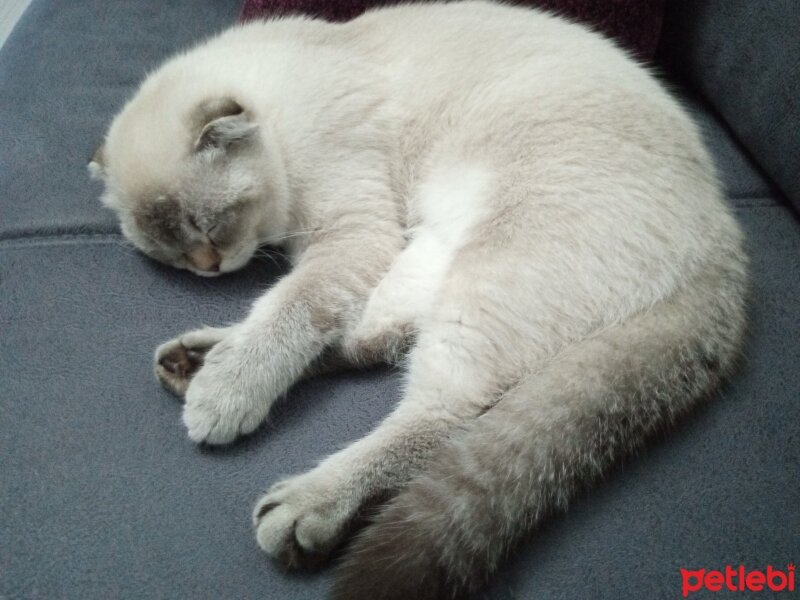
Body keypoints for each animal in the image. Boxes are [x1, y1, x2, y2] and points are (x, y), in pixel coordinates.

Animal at [89, 2, 752, 596]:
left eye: (209, 226)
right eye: (172, 252)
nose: (208, 269)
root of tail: (729, 247)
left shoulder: (352, 235)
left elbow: (292, 306)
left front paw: (224, 399)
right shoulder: (360, 251)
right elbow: (299, 313)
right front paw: (218, 372)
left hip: (486, 280)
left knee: (444, 414)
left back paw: (300, 501)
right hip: (427, 258)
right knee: (373, 344)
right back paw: (194, 362)